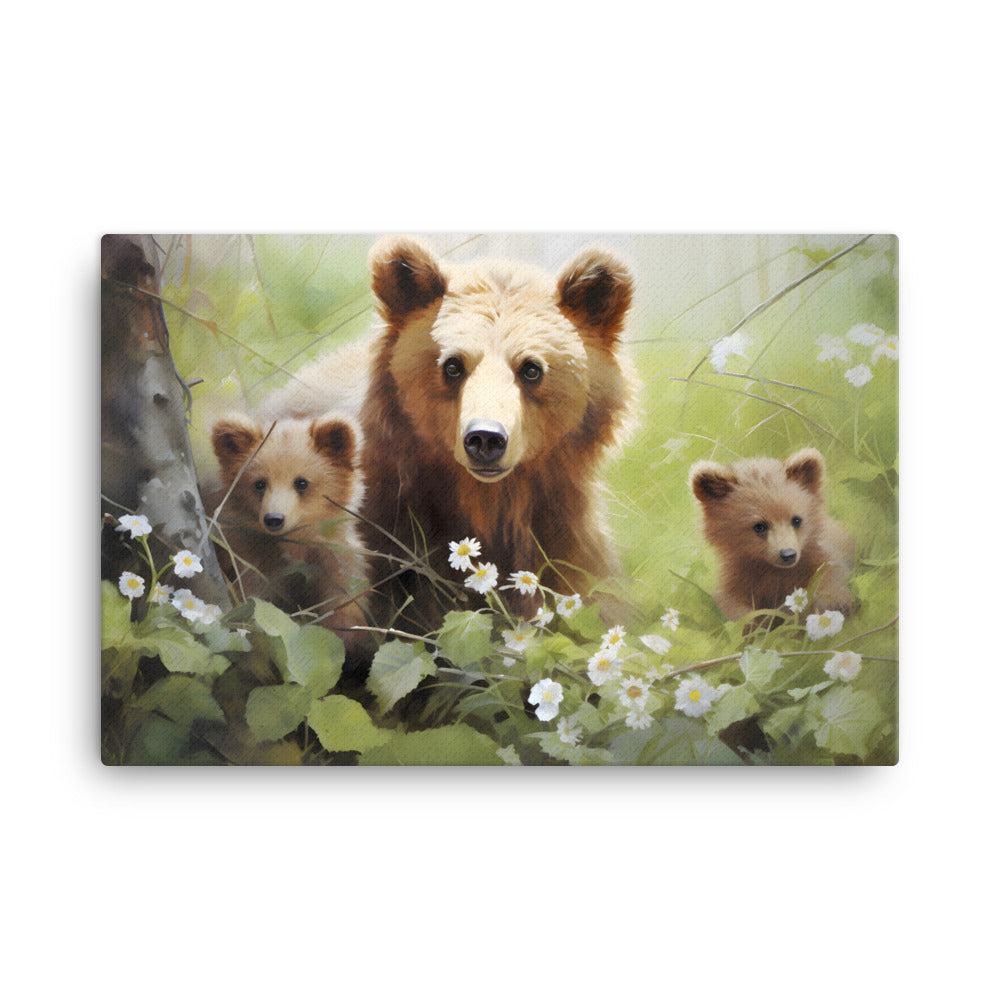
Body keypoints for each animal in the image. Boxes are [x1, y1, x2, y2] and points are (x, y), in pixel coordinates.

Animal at [209, 410, 371, 668]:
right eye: (259, 483)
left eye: (301, 482)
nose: (274, 519)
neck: (293, 545)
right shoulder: (252, 561)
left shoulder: (336, 562)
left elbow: (344, 607)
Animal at [689, 448, 854, 622]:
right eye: (759, 526)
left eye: (796, 520)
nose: (788, 554)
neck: (772, 569)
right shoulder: (739, 574)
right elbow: (731, 601)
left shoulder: (816, 558)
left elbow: (829, 574)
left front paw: (835, 602)